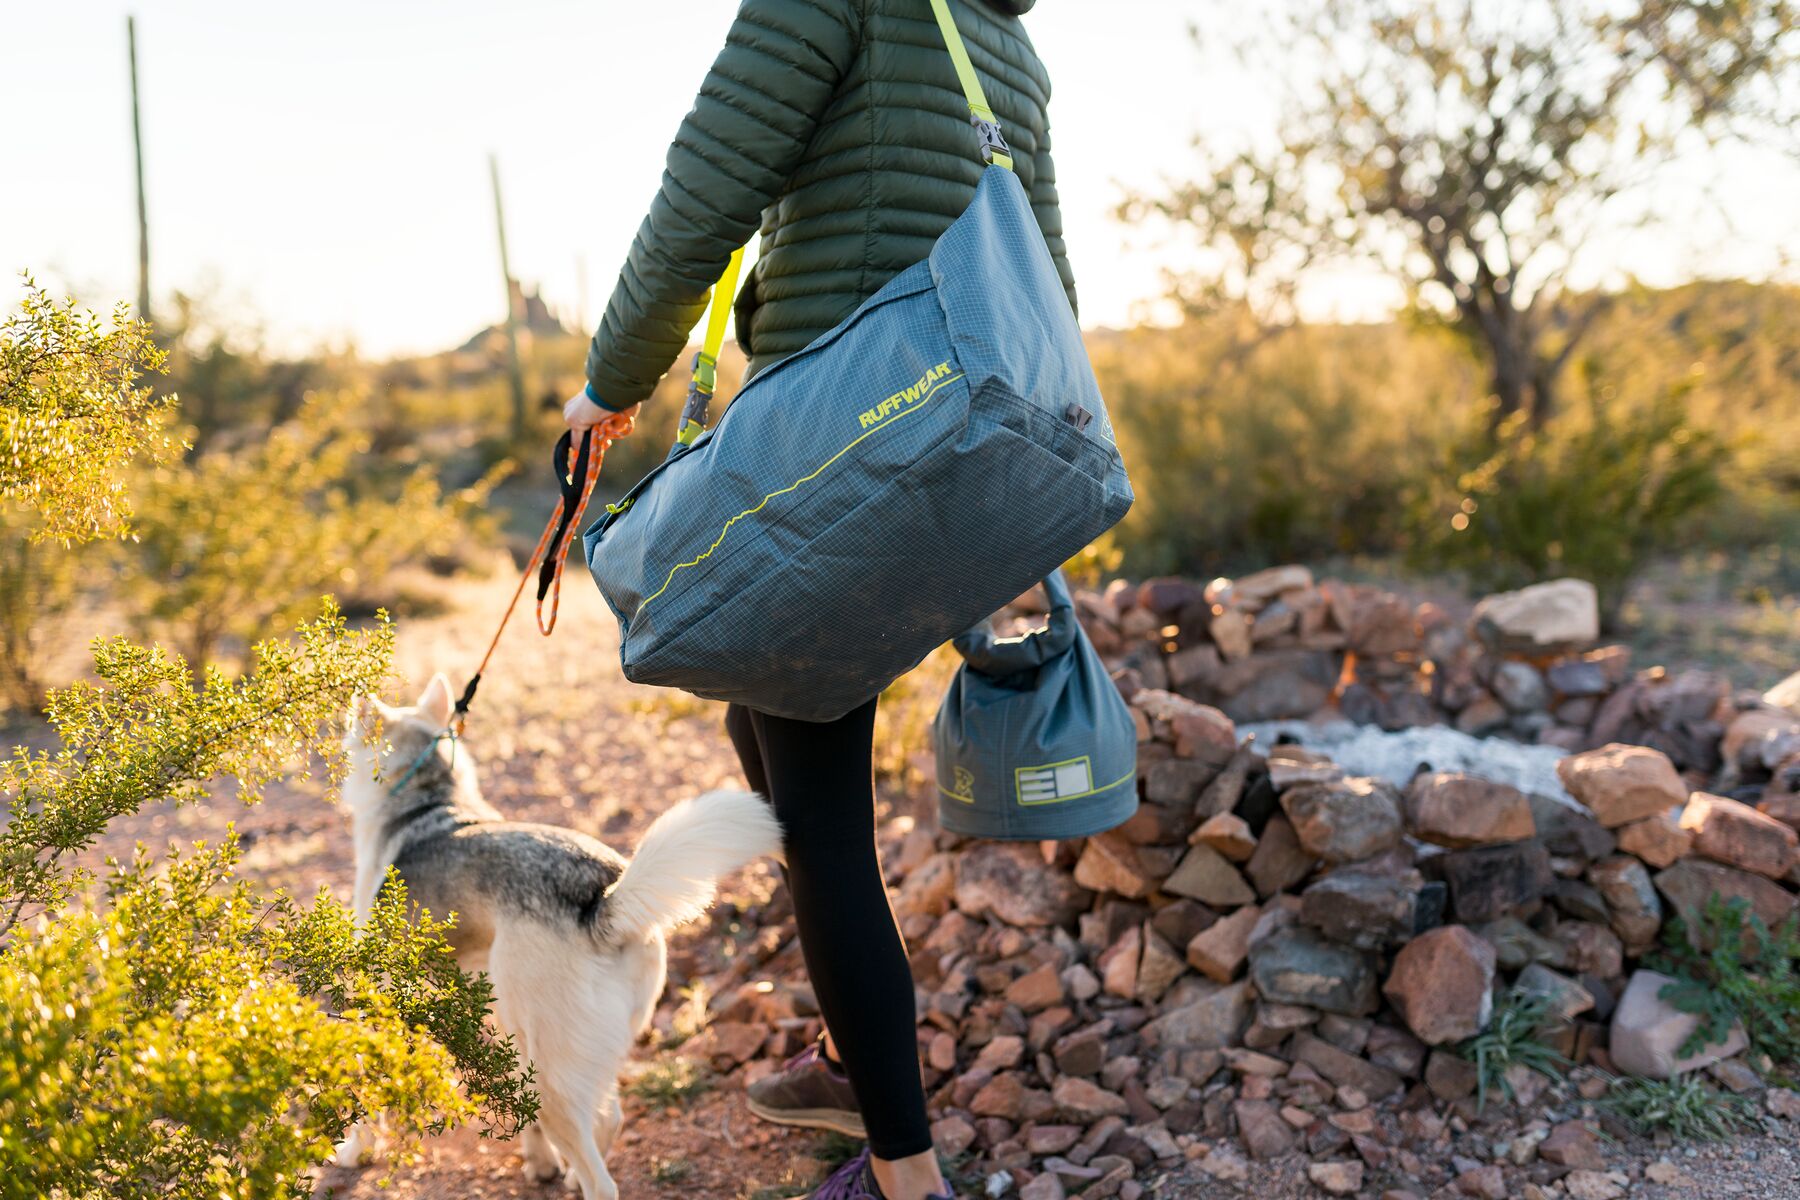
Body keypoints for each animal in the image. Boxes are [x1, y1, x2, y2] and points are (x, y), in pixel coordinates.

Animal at [336, 676, 781, 1200]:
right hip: (577, 1050)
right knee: (608, 1117)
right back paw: (566, 1171)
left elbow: (366, 1087)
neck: (427, 796)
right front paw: (540, 1162)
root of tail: (602, 900)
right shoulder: (494, 1016)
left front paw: (353, 1148)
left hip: (549, 1073)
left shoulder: (382, 1002)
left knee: (601, 1178)